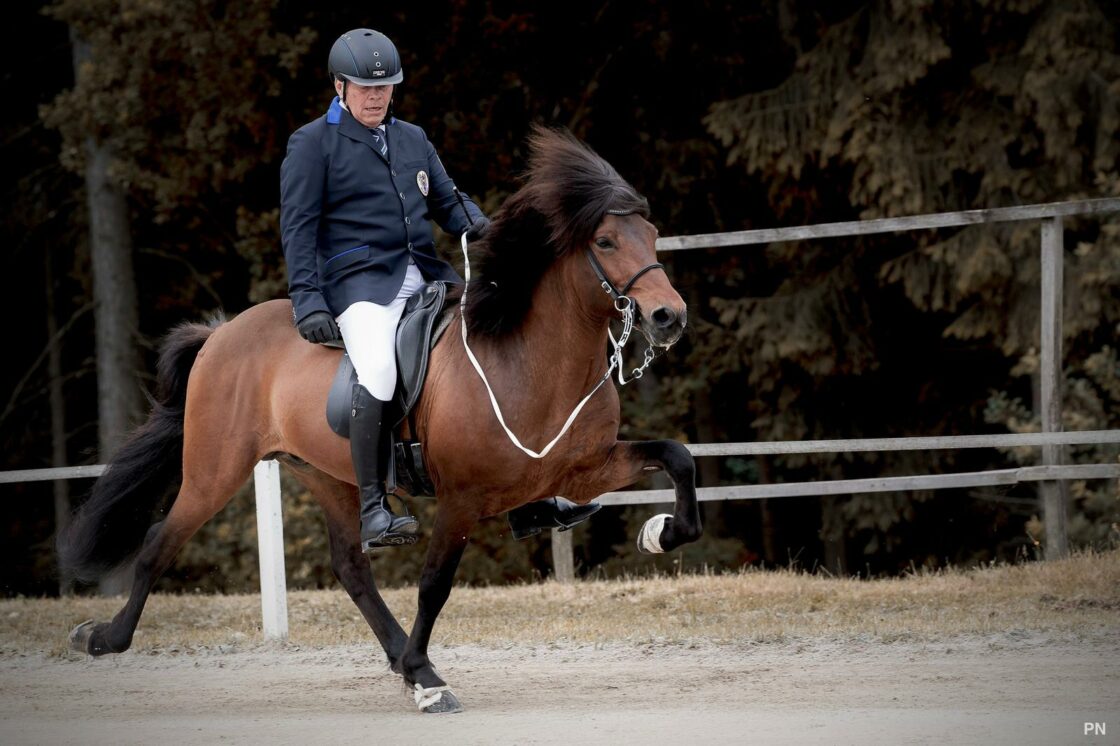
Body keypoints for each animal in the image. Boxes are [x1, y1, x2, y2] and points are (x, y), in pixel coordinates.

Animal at [59, 127, 698, 716]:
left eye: (652, 235)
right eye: (606, 240)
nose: (669, 317)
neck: (531, 358)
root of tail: (221, 333)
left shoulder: (581, 470)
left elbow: (678, 457)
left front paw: (662, 532)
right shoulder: (462, 499)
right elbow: (435, 584)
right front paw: (428, 679)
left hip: (328, 475)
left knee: (352, 569)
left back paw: (398, 659)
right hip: (214, 472)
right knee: (157, 545)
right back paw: (103, 637)